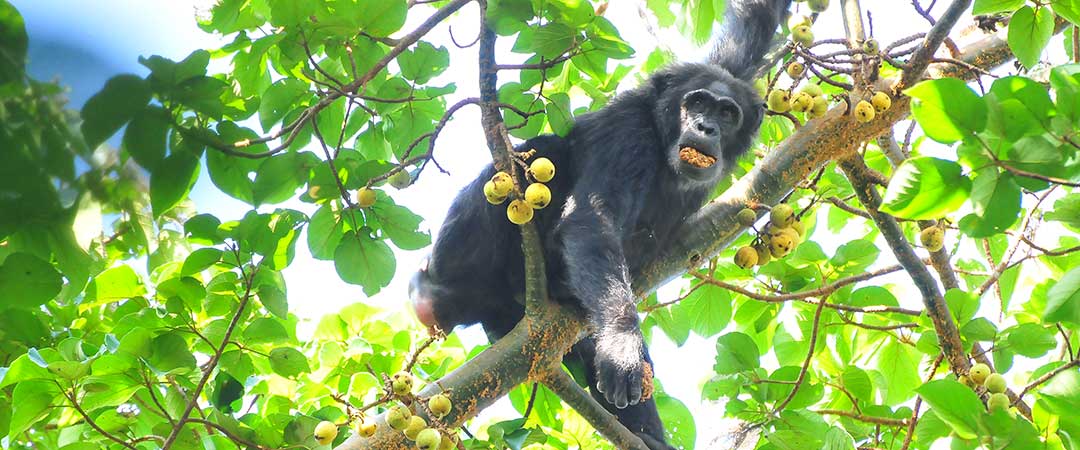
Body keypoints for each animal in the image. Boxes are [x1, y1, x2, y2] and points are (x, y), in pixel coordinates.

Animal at [408, 1, 790, 446]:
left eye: (727, 112)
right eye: (696, 103)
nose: (705, 126)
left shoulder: (728, 69)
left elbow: (751, 29)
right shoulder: (629, 135)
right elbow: (592, 218)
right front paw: (623, 346)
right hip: (464, 258)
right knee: (542, 153)